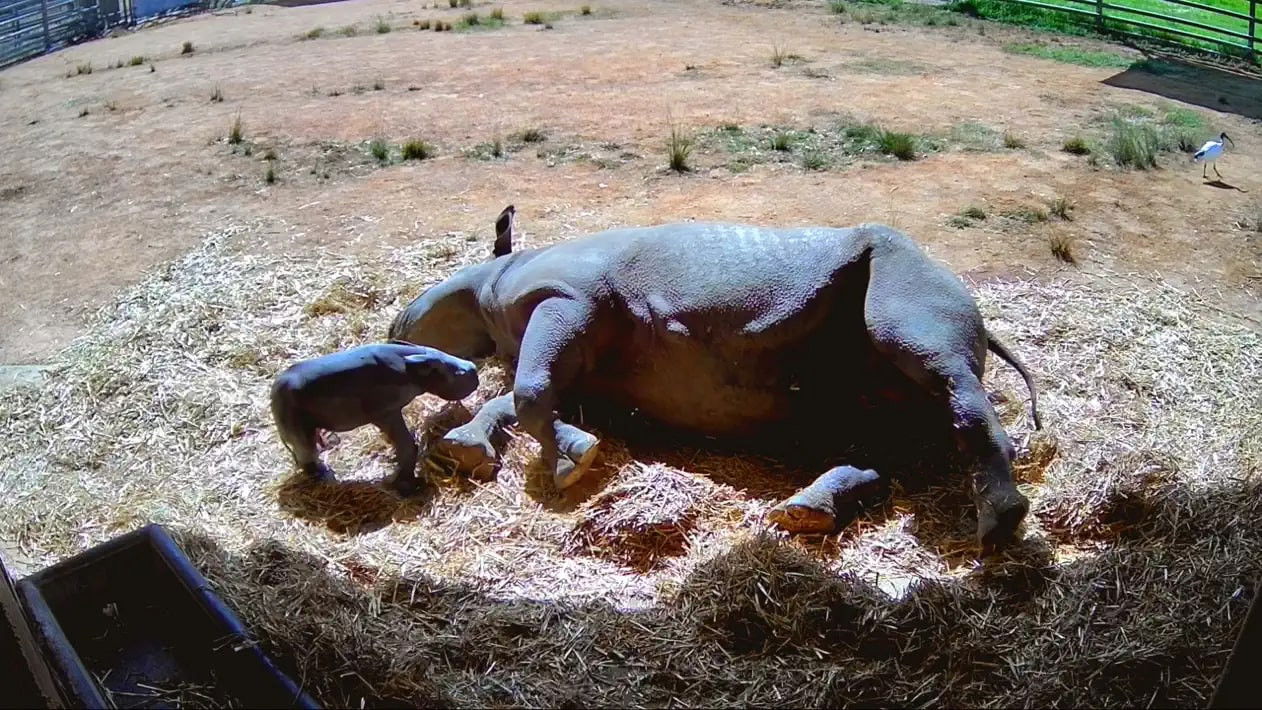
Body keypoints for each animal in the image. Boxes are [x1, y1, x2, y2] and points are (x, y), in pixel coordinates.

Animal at [390, 206, 1041, 553]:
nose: (392, 326)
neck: (496, 283)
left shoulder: (571, 298)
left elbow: (528, 392)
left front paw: (574, 461)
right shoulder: (586, 372)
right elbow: (522, 398)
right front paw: (467, 450)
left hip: (911, 275)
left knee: (932, 360)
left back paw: (996, 526)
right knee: (882, 426)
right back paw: (801, 515)